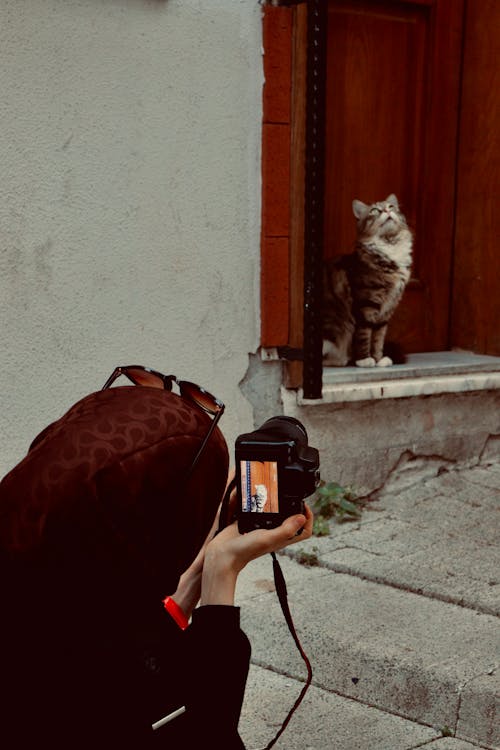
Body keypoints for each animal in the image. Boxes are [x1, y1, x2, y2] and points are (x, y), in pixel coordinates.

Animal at [322, 195, 412, 368]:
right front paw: (364, 360)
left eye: (391, 206)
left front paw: (378, 359)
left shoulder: (385, 312)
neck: (389, 246)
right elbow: (364, 336)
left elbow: (377, 340)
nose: (386, 211)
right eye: (375, 210)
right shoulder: (366, 305)